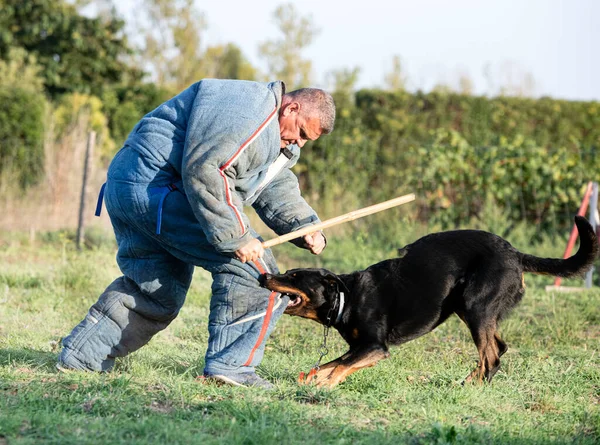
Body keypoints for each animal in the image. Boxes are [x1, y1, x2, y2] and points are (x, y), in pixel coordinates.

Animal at [264, 217, 600, 386]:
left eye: (294, 275)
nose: (266, 277)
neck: (346, 297)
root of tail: (516, 253)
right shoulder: (360, 348)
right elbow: (333, 364)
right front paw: (311, 379)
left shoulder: (375, 347)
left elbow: (338, 368)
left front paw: (323, 386)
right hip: (471, 309)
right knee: (498, 349)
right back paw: (469, 382)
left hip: (475, 306)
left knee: (491, 356)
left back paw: (470, 387)